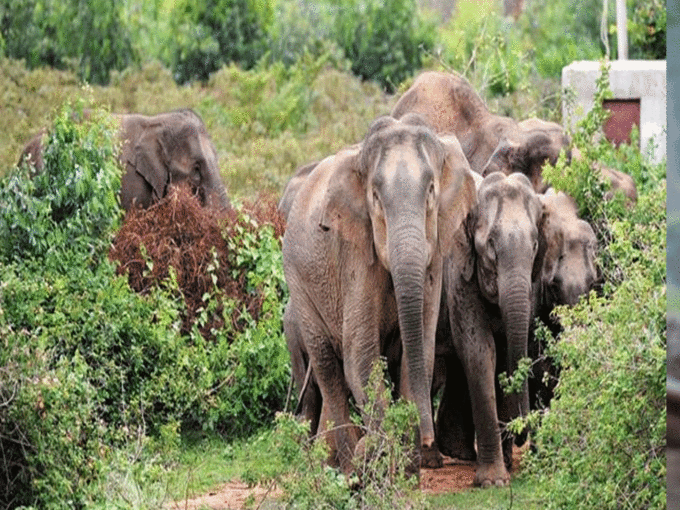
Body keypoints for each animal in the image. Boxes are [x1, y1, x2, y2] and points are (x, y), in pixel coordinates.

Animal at [278, 114, 476, 474]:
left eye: (431, 191)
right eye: (375, 198)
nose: (429, 440)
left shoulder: (435, 256)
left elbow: (419, 353)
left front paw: (408, 470)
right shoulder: (356, 254)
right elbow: (361, 359)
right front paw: (381, 460)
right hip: (299, 286)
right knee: (328, 368)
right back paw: (344, 466)